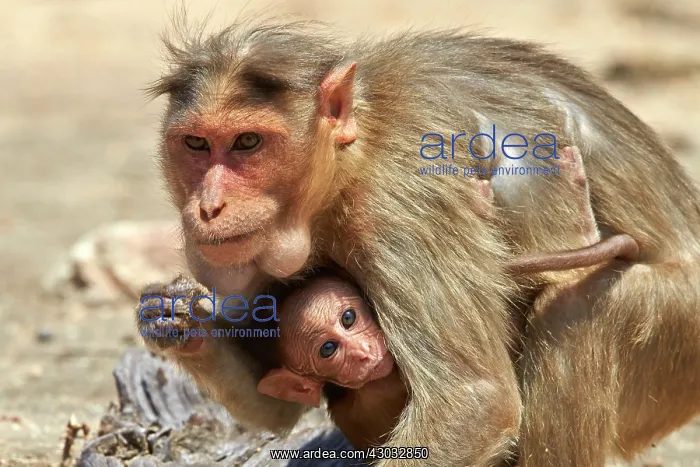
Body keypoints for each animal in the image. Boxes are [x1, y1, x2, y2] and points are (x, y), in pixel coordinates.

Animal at [138, 17, 700, 467]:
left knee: (577, 307)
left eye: (248, 143)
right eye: (196, 144)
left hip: (676, 338)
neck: (347, 166)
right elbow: (281, 405)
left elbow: (475, 401)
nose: (208, 207)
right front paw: (178, 319)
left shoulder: (399, 206)